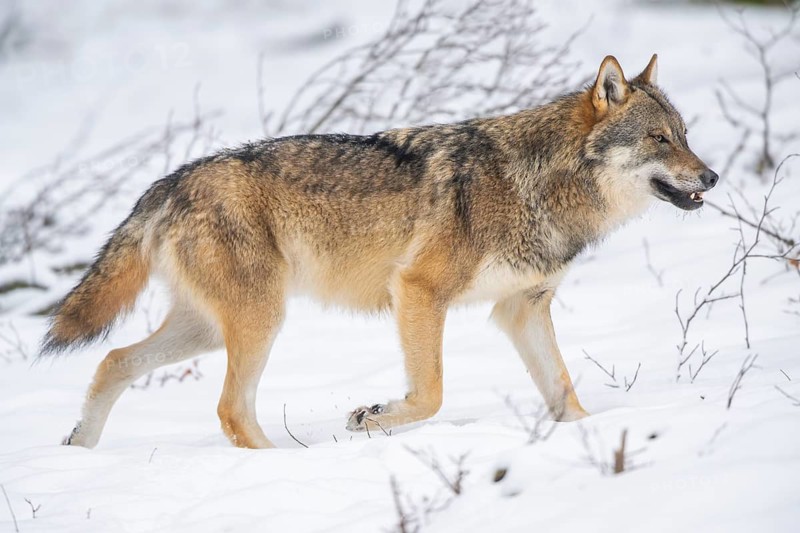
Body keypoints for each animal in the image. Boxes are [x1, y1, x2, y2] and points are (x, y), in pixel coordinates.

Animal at [42, 54, 717, 448]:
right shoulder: (418, 291)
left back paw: (80, 448)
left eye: (685, 136)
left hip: (209, 330)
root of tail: (169, 181)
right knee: (230, 409)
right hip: (259, 322)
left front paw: (596, 437)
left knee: (114, 362)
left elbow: (565, 392)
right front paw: (368, 417)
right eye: (659, 140)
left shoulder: (521, 310)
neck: (538, 183)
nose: (711, 177)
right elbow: (431, 395)